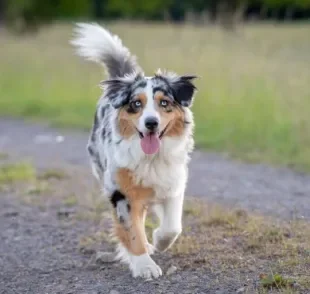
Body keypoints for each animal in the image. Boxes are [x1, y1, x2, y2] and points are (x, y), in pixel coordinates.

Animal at [71, 23, 197, 280]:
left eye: (164, 103)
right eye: (136, 104)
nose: (151, 123)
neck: (151, 159)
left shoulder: (173, 183)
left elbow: (173, 226)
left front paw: (159, 241)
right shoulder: (121, 191)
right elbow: (131, 230)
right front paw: (144, 265)